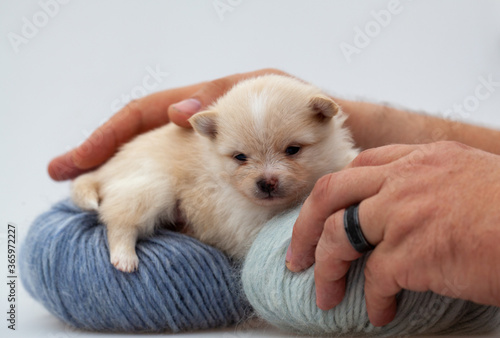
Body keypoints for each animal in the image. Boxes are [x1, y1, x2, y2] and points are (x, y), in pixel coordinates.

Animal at [71, 74, 360, 272]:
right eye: (240, 157)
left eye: (293, 150)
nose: (266, 183)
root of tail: (108, 168)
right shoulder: (243, 223)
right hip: (149, 186)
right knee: (120, 221)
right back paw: (124, 257)